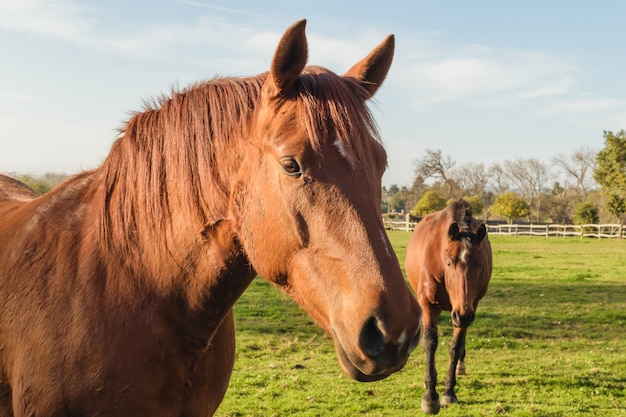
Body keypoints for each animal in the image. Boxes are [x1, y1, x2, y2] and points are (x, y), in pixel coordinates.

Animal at [404, 198, 492, 412]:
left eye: (480, 265)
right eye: (450, 263)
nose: (463, 315)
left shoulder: (468, 308)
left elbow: (455, 346)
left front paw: (448, 392)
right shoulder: (428, 305)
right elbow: (430, 343)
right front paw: (429, 395)